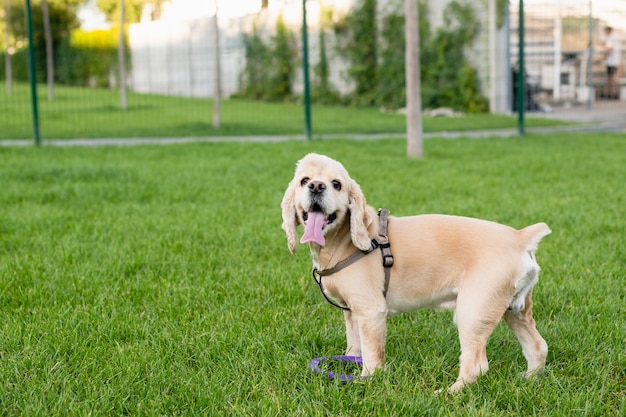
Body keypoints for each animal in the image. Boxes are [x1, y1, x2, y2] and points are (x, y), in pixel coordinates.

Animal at [280, 152, 548, 390]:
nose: (316, 186)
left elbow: (372, 356)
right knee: (538, 347)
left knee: (476, 365)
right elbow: (354, 347)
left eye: (336, 184)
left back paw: (447, 394)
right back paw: (528, 381)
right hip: (514, 310)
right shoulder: (351, 312)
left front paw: (366, 381)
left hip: (473, 312)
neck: (346, 240)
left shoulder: (371, 312)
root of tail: (520, 237)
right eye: (304, 180)